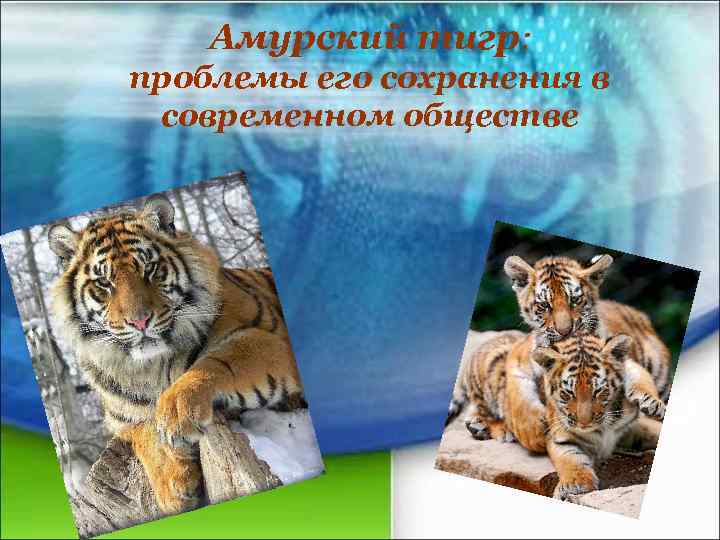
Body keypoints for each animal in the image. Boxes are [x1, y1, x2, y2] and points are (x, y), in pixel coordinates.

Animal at [48, 194, 305, 514]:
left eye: (149, 269)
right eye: (104, 283)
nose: (140, 321)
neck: (151, 367)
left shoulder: (268, 336)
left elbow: (214, 363)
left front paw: (176, 412)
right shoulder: (121, 420)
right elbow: (144, 433)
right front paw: (174, 485)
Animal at [502, 254, 671, 452]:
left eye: (574, 301)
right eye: (544, 305)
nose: (565, 331)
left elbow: (640, 378)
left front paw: (651, 402)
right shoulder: (518, 358)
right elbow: (517, 393)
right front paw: (533, 431)